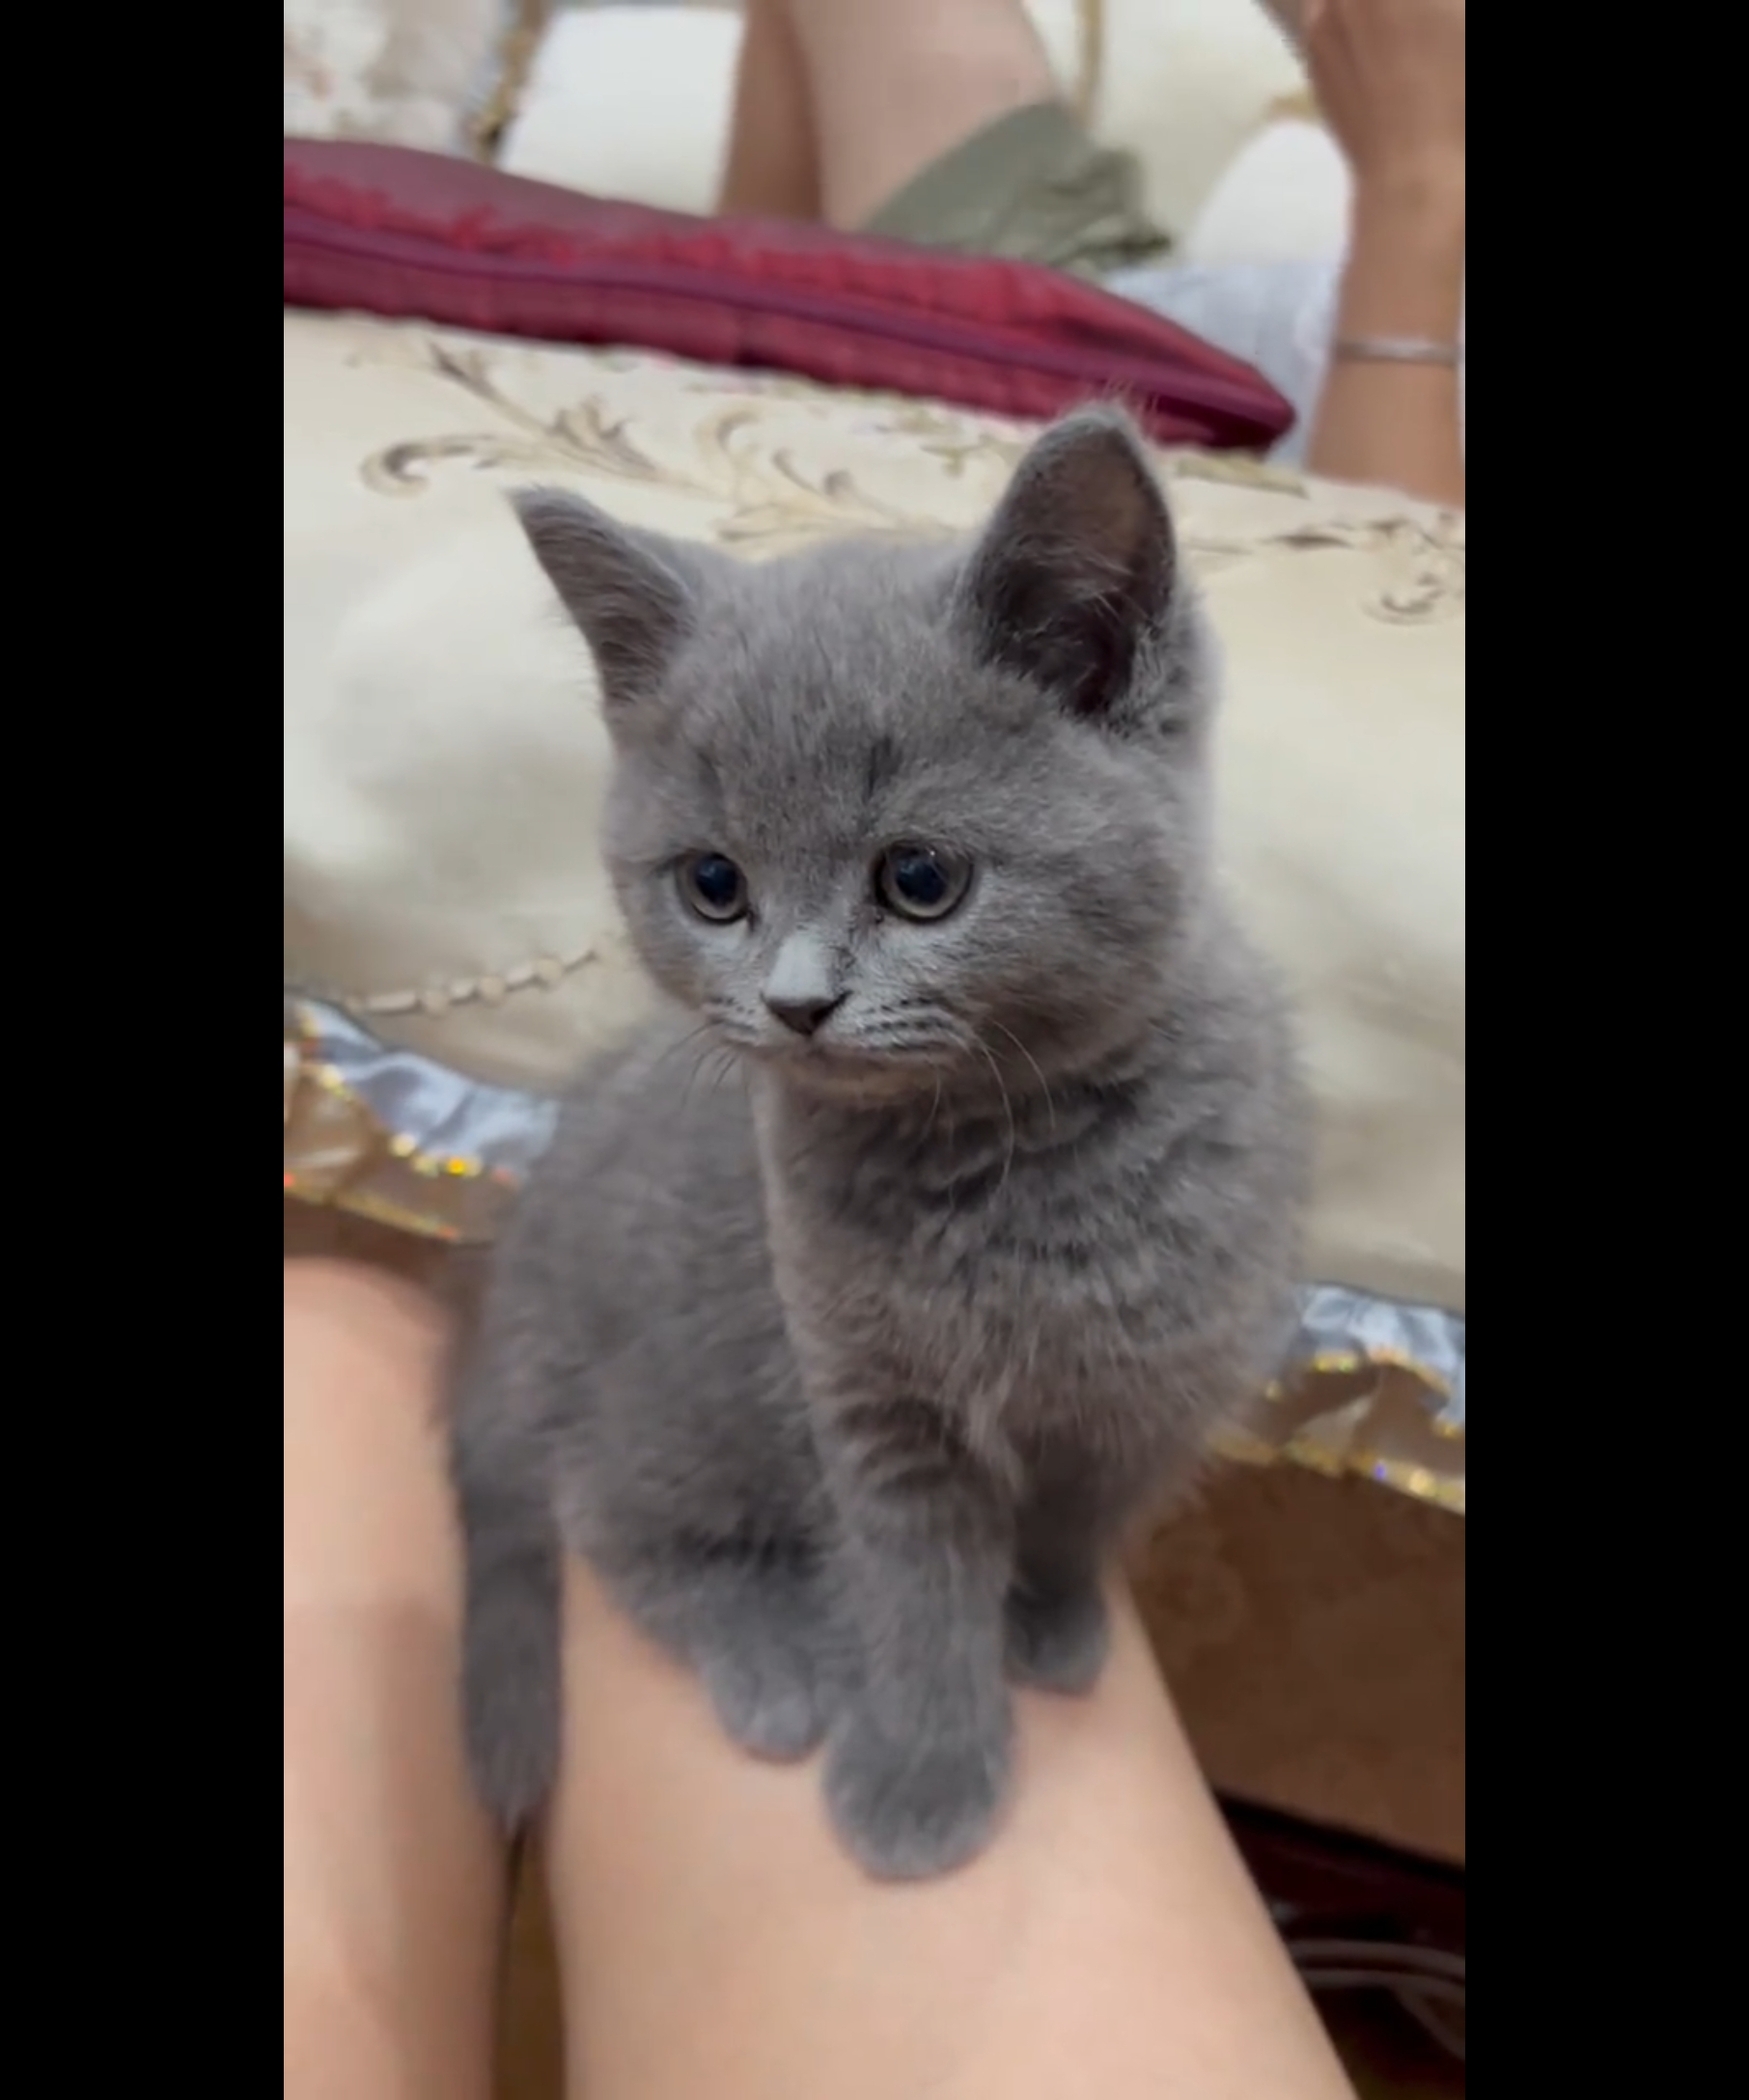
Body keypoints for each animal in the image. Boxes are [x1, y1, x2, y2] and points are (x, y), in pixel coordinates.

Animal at [451, 406, 1310, 1881]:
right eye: (714, 885)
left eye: (920, 880)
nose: (797, 1003)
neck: (993, 1174)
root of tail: (513, 1296)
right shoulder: (866, 1395)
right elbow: (917, 1587)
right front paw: (923, 1775)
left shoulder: (1165, 1376)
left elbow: (1082, 1515)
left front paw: (1053, 1623)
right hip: (682, 1388)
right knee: (604, 1515)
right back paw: (778, 1664)